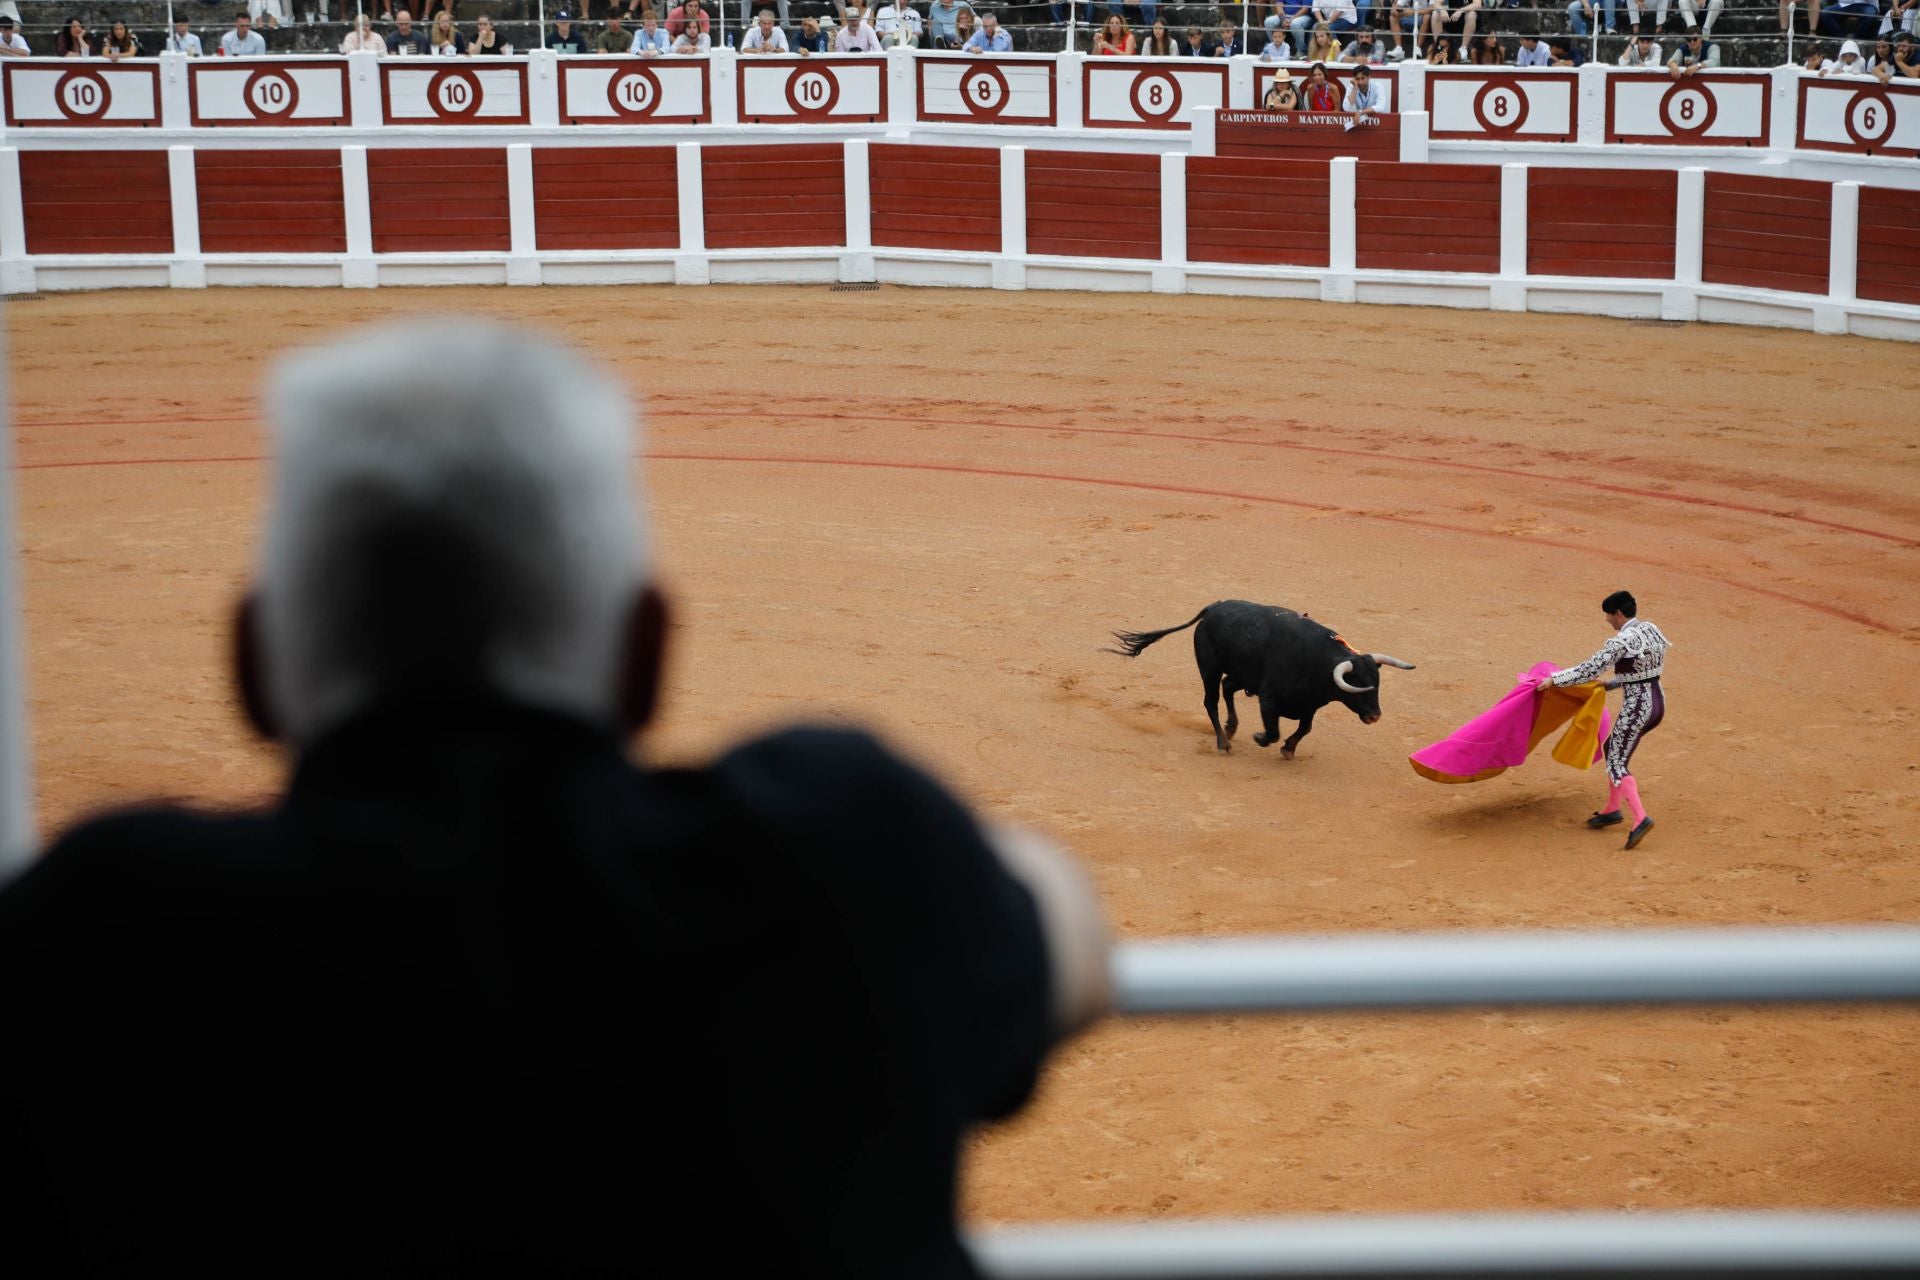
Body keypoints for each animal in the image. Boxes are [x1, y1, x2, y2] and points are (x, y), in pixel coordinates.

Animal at [1113, 602, 1413, 759]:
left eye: (1377, 683)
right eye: (1358, 687)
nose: (1375, 716)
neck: (1319, 663)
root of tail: (1214, 607)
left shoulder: (1309, 705)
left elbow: (1305, 728)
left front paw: (1289, 750)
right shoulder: (1268, 700)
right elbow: (1273, 731)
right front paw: (1260, 738)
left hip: (1241, 674)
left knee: (1227, 687)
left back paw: (1231, 727)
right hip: (1209, 669)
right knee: (1211, 701)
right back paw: (1223, 742)